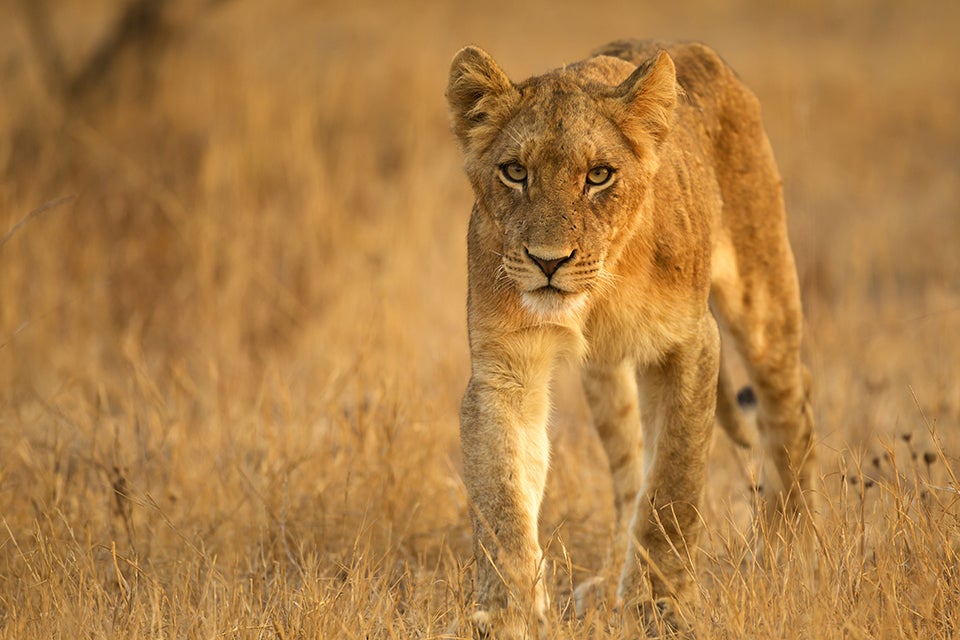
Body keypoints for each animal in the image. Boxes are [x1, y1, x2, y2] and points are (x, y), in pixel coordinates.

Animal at [446, 40, 817, 637]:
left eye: (599, 175)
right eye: (515, 171)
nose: (548, 262)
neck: (599, 289)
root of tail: (696, 49)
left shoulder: (688, 345)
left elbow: (672, 486)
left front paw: (660, 608)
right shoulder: (504, 367)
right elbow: (501, 495)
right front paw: (508, 614)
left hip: (763, 299)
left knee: (790, 406)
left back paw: (793, 555)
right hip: (606, 376)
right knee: (628, 473)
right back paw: (610, 585)